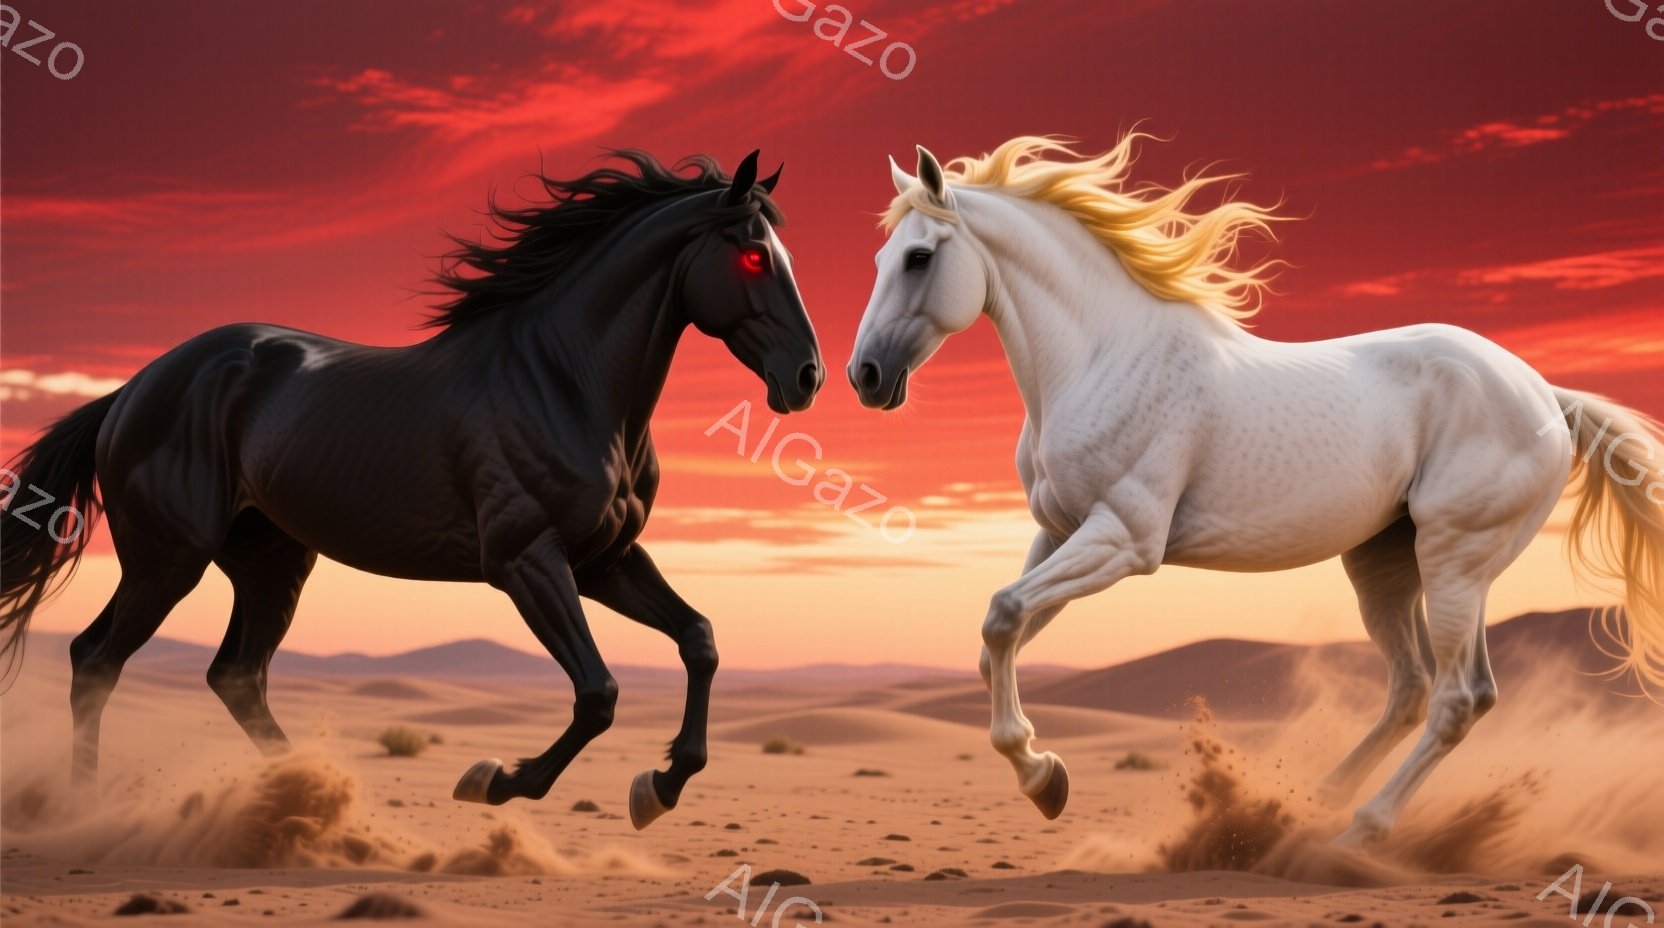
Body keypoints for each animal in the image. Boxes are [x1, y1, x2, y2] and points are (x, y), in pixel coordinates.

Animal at [0, 149, 824, 829]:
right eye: (754, 255)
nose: (808, 377)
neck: (567, 382)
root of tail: (133, 389)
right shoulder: (527, 560)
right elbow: (598, 694)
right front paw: (492, 780)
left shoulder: (604, 560)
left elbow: (699, 641)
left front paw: (658, 788)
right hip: (169, 558)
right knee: (96, 660)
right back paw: (85, 810)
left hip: (272, 563)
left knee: (235, 676)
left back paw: (310, 802)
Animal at [847, 134, 1664, 846]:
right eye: (880, 255)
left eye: (918, 257)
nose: (864, 377)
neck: (1100, 356)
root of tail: (1546, 397)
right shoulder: (1060, 532)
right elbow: (998, 643)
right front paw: (1046, 776)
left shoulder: (1125, 540)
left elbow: (1002, 616)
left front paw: (1042, 777)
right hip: (1387, 564)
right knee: (1419, 689)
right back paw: (1314, 803)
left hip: (1456, 560)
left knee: (1458, 699)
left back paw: (1356, 833)